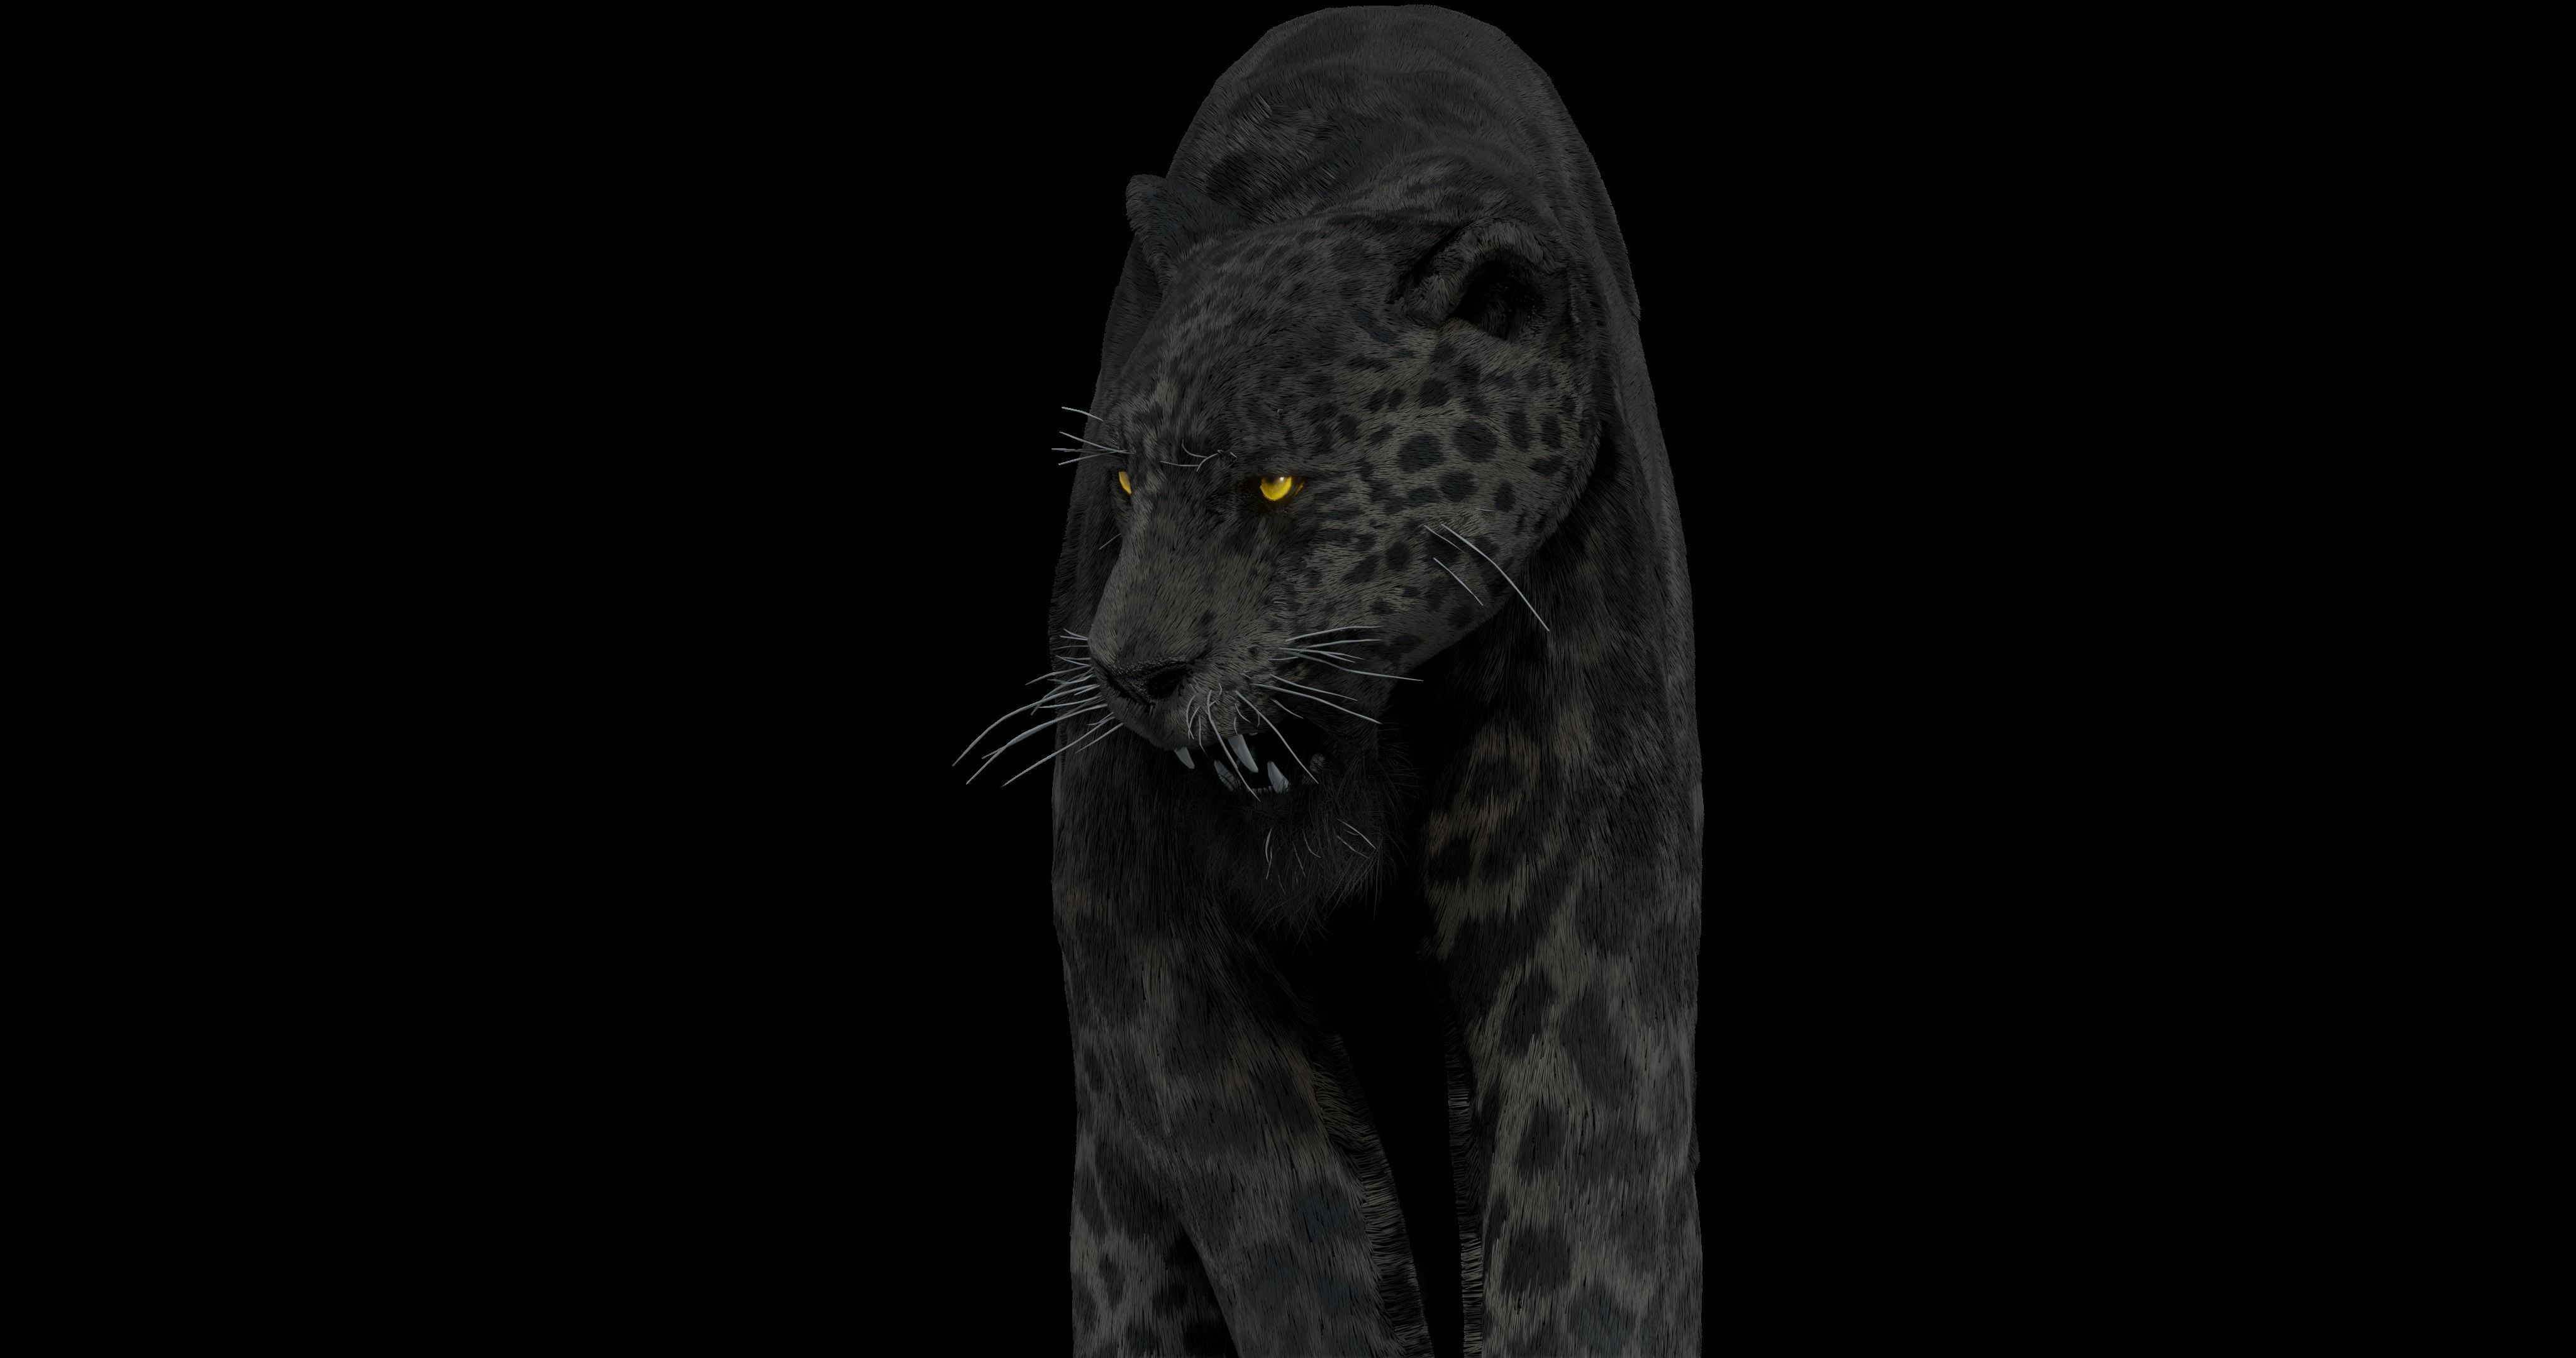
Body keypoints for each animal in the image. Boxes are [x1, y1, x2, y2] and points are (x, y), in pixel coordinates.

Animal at [961, 8, 1701, 1354]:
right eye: (1127, 481)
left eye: (1275, 486)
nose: (1132, 675)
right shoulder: (1153, 945)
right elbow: (1291, 1230)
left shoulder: (1584, 923)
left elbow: (1590, 1208)